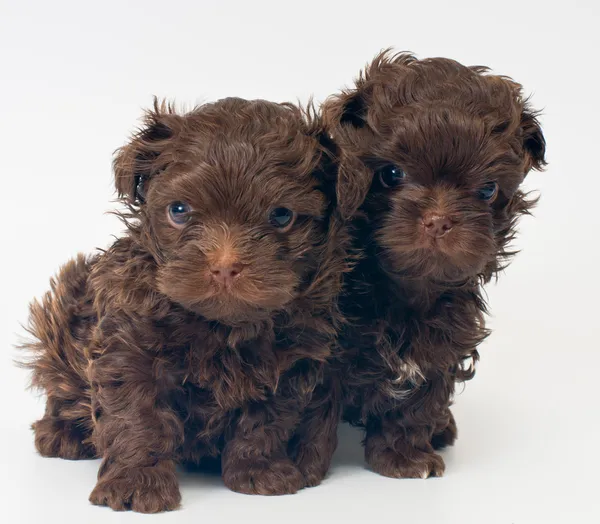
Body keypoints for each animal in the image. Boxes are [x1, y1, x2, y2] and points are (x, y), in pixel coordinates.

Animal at [21, 98, 354, 512]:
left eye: (281, 215)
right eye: (178, 211)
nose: (225, 265)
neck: (222, 325)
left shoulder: (290, 360)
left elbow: (267, 419)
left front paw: (258, 470)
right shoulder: (127, 348)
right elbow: (137, 417)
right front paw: (136, 482)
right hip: (67, 306)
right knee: (60, 379)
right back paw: (61, 430)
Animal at [322, 52, 548, 478]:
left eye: (488, 190)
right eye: (391, 174)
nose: (439, 220)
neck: (405, 291)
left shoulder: (441, 345)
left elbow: (416, 406)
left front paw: (404, 457)